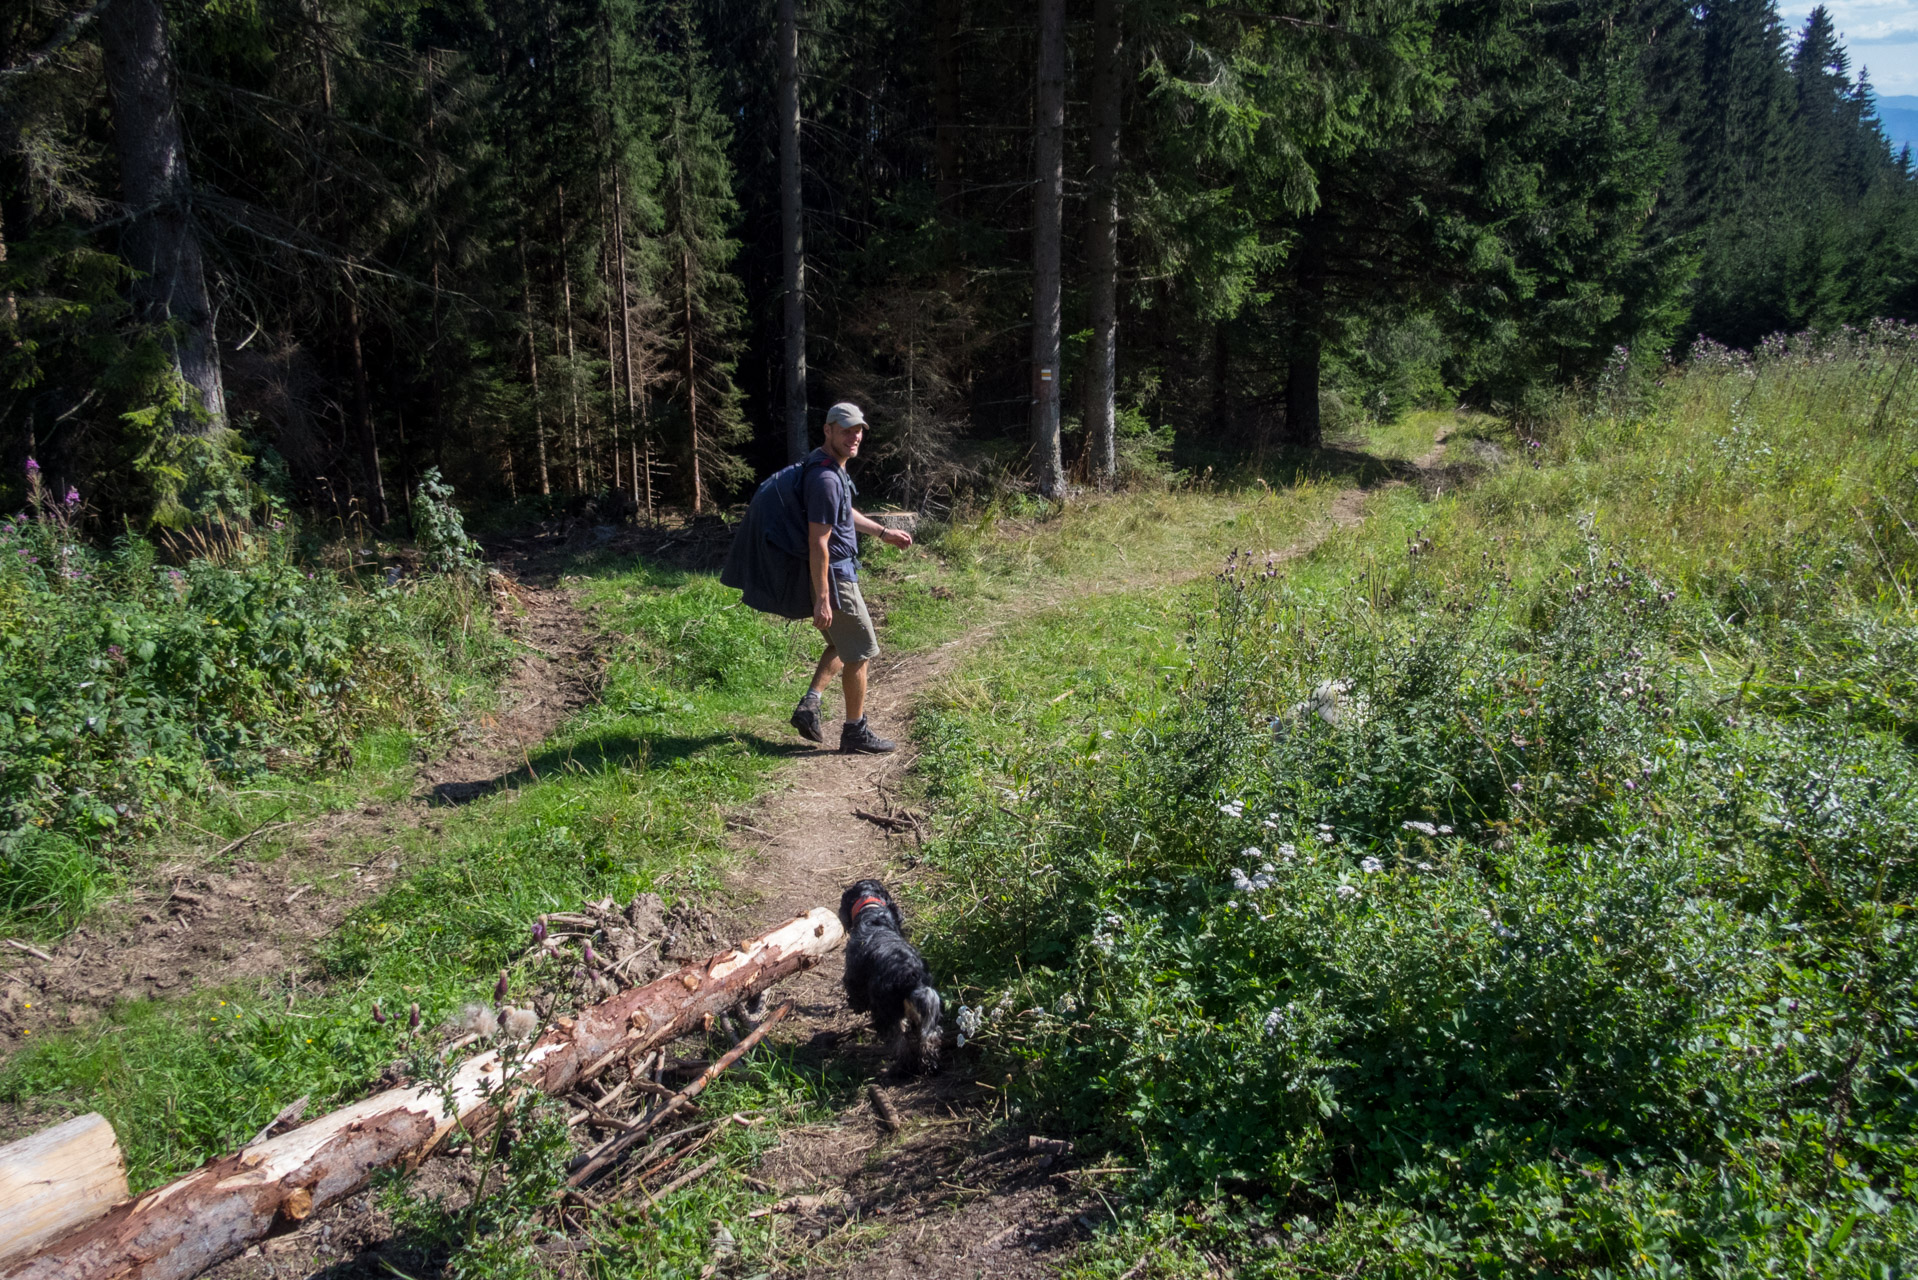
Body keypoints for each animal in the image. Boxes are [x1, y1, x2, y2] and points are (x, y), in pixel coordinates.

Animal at [840, 882, 943, 1074]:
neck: (872, 913)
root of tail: (911, 976)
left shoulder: (853, 976)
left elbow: (856, 995)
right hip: (924, 1008)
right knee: (929, 1036)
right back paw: (929, 1065)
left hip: (887, 1013)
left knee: (899, 1041)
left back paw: (902, 1068)